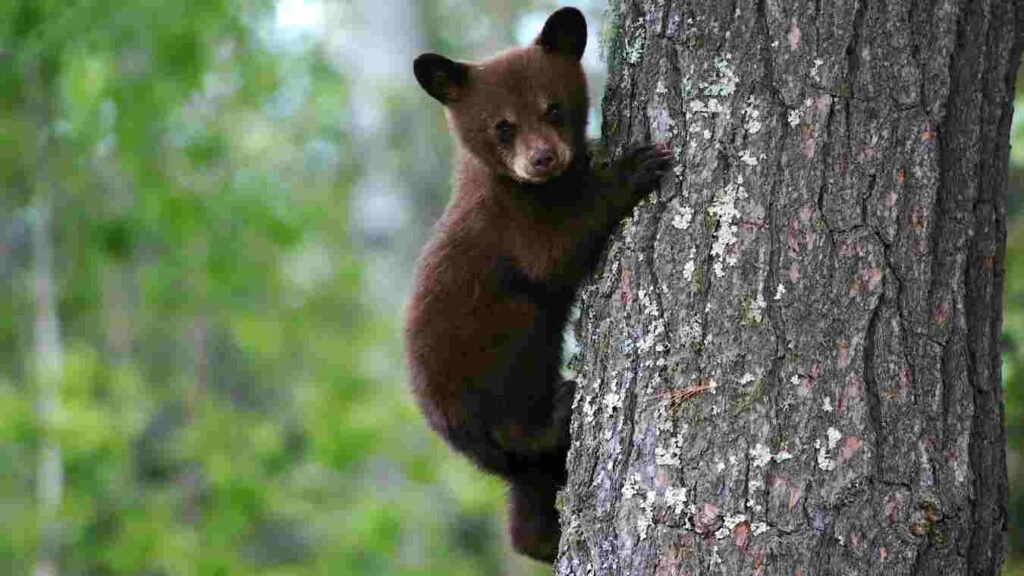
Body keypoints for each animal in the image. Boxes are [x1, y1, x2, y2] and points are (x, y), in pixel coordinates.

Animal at [404, 6, 671, 563]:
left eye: (553, 108)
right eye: (502, 126)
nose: (543, 158)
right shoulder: (511, 222)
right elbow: (555, 253)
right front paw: (633, 168)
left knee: (528, 497)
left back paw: (542, 539)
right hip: (496, 356)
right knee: (520, 410)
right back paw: (561, 407)